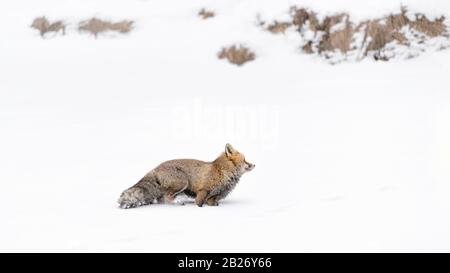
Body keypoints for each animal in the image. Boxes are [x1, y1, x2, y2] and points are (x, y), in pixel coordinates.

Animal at [118, 142, 255, 208]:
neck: (222, 171)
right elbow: (199, 203)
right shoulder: (203, 190)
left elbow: (212, 202)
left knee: (161, 199)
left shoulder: (214, 196)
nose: (254, 164)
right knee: (168, 197)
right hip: (182, 183)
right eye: (245, 160)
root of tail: (155, 168)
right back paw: (179, 202)